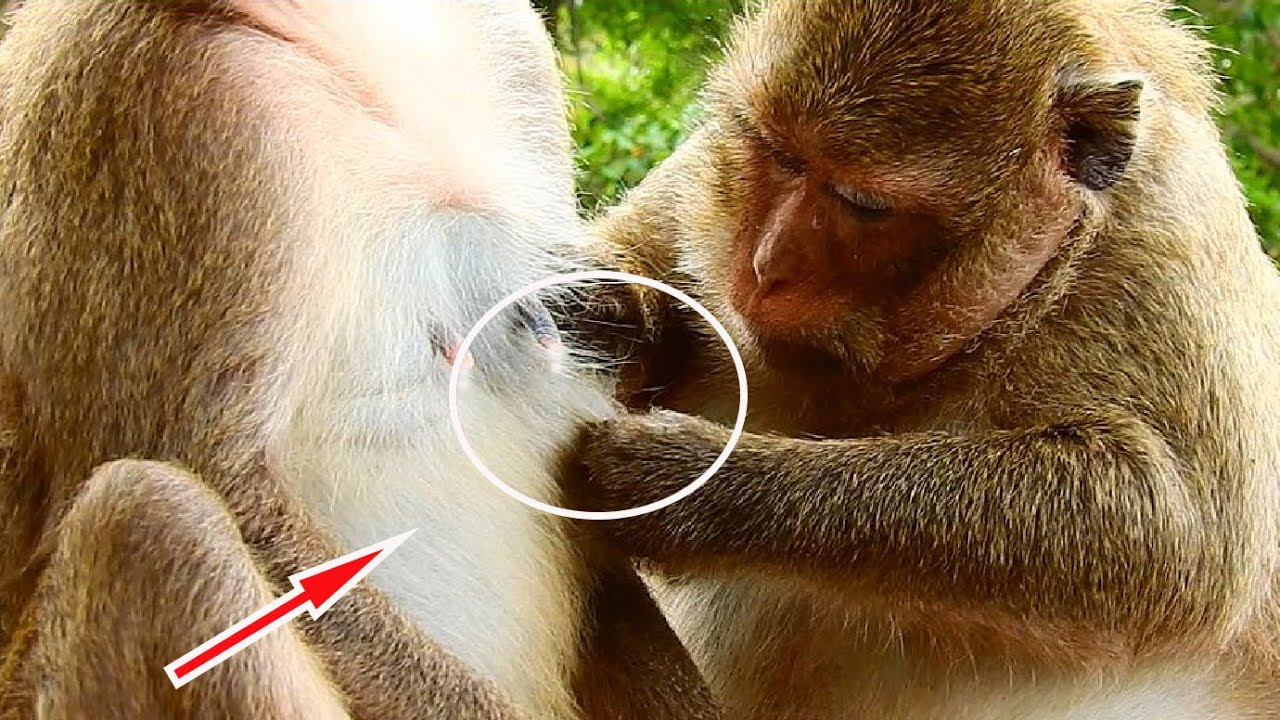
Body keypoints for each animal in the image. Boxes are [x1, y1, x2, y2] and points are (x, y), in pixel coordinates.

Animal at [575, 1, 1280, 718]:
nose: (766, 268)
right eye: (776, 152)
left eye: (865, 206)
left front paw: (689, 481)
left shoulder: (1164, 244)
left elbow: (1174, 534)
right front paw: (618, 309)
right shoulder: (700, 180)